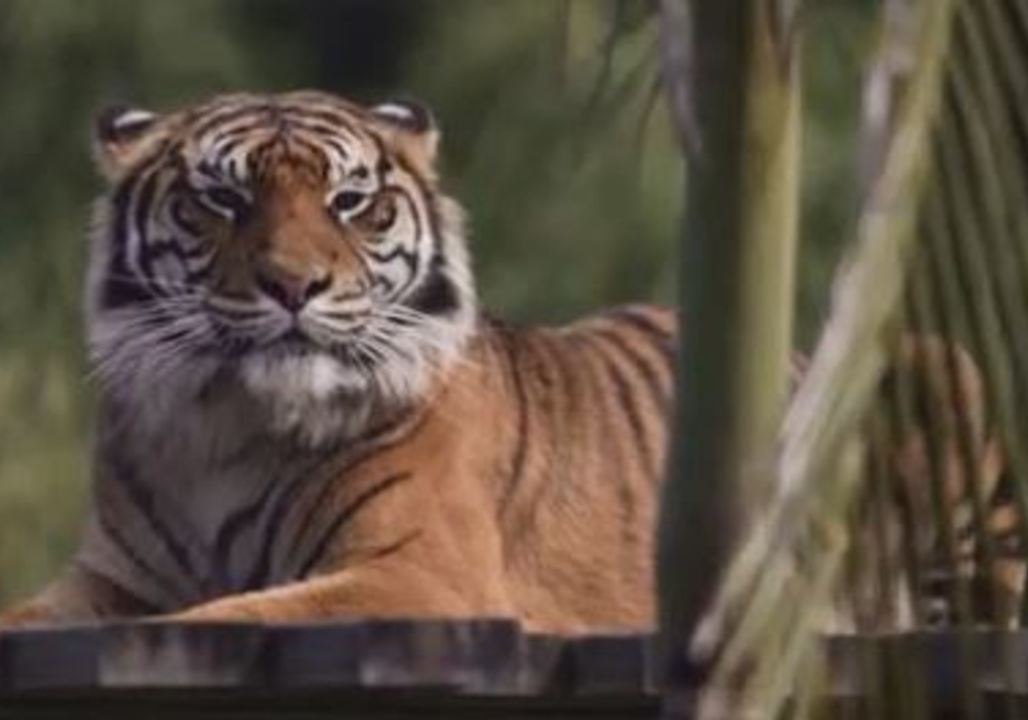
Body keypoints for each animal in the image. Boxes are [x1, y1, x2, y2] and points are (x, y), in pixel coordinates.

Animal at [0, 90, 676, 633]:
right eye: (223, 199)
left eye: (348, 201)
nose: (294, 284)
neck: (225, 428)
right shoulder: (114, 579)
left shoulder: (420, 572)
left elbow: (225, 615)